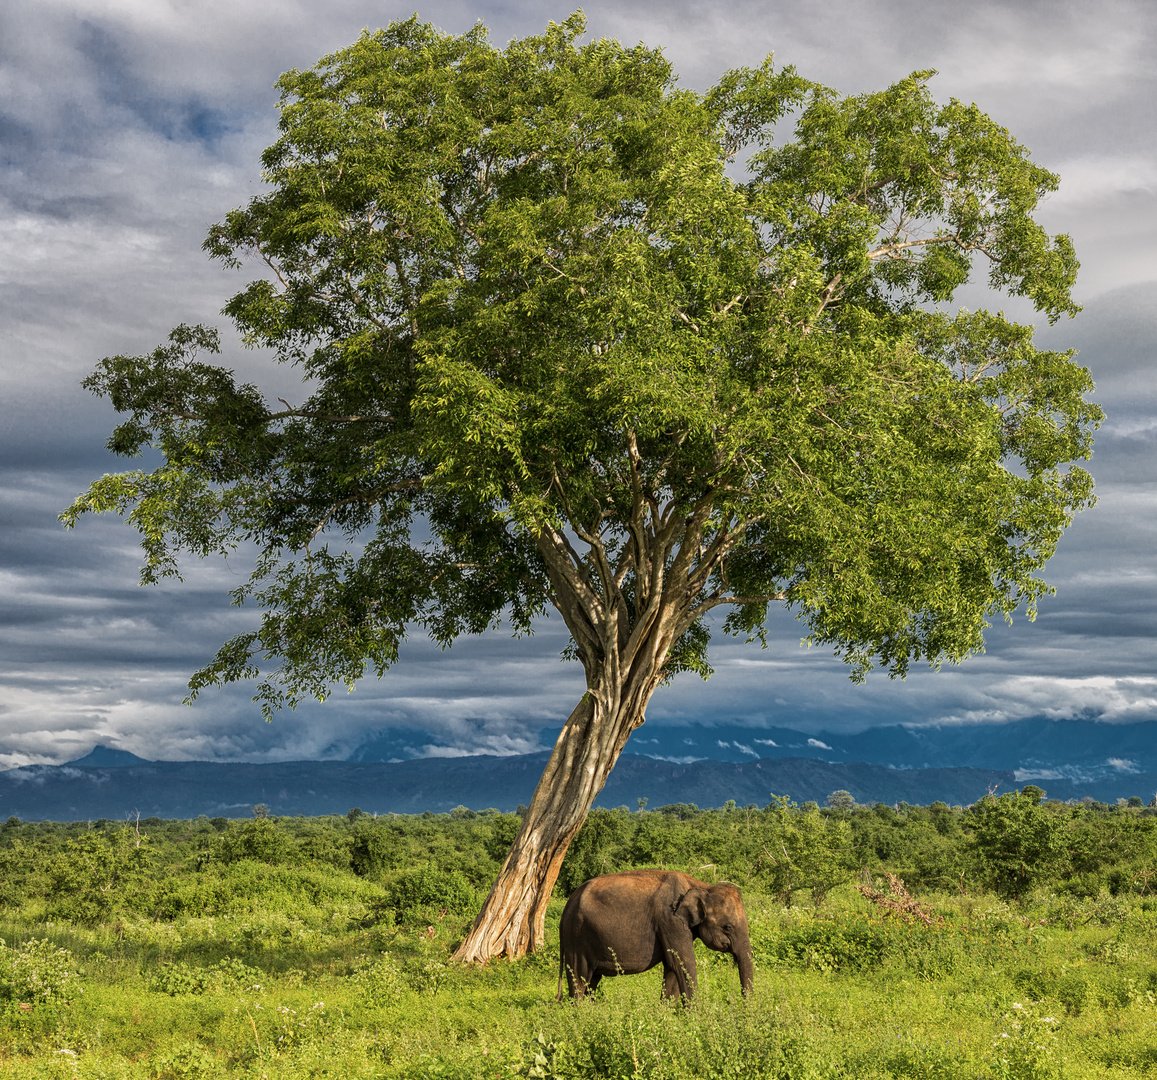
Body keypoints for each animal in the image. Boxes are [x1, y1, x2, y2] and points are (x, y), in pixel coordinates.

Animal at [557, 865, 754, 1000]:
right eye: (728, 927)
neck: (702, 886)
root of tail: (567, 906)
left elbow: (672, 967)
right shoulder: (670, 921)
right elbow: (683, 963)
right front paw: (696, 1019)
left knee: (592, 981)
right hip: (576, 937)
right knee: (579, 979)